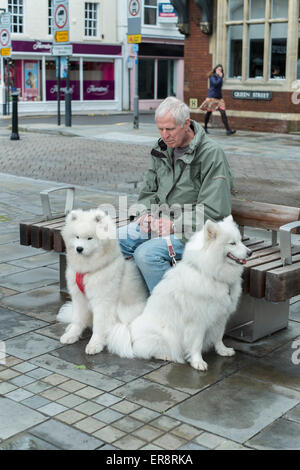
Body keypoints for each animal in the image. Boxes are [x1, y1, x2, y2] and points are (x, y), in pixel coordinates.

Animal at [57, 207, 148, 358]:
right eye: (77, 237)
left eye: (90, 238)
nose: (79, 249)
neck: (89, 270)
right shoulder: (79, 297)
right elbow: (77, 319)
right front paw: (72, 335)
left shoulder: (103, 301)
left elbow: (99, 326)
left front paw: (94, 345)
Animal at [131, 217, 251, 370]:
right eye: (232, 243)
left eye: (240, 241)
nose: (250, 253)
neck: (211, 275)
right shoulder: (198, 320)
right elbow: (197, 343)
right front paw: (197, 361)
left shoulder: (221, 315)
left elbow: (219, 336)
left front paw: (222, 350)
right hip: (164, 334)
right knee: (150, 349)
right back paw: (166, 355)